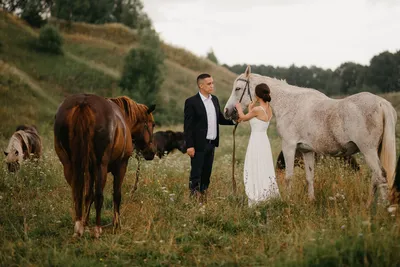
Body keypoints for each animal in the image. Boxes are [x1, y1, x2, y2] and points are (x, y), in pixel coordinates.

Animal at [54, 94, 156, 239]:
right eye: (152, 124)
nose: (151, 152)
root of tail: (83, 103)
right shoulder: (120, 166)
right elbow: (116, 195)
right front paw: (117, 224)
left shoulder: (89, 171)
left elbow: (88, 196)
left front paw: (85, 223)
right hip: (100, 166)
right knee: (99, 195)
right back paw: (97, 229)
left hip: (69, 165)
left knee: (77, 193)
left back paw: (79, 226)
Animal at [225, 66, 396, 204]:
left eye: (238, 89)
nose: (228, 111)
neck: (290, 104)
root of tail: (381, 103)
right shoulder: (307, 151)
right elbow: (309, 177)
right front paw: (311, 200)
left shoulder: (289, 146)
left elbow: (289, 176)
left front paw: (288, 201)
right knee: (376, 177)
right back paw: (369, 204)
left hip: (368, 151)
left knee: (380, 176)